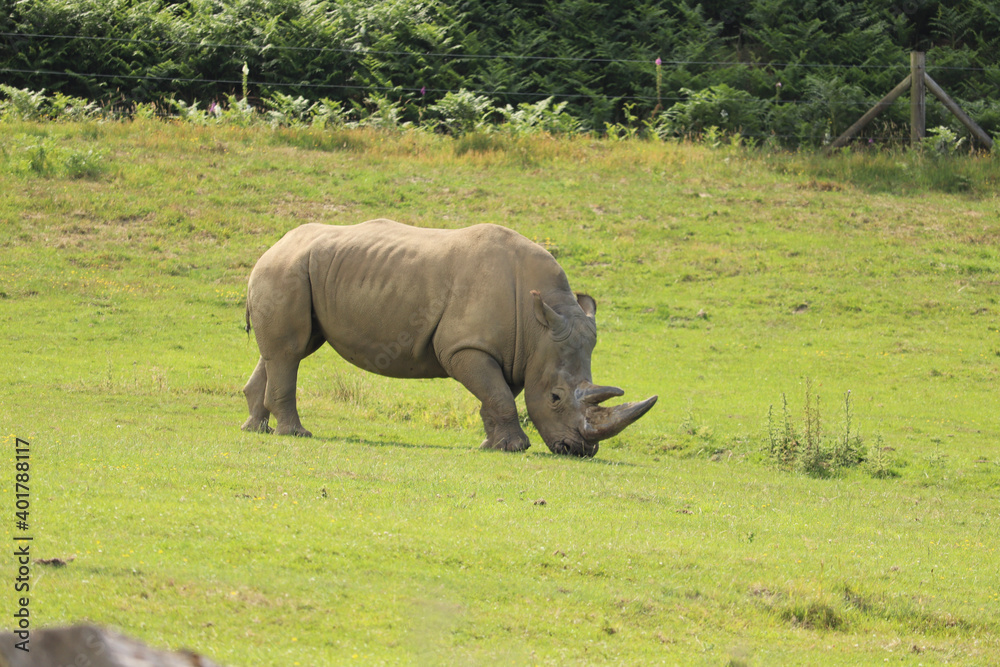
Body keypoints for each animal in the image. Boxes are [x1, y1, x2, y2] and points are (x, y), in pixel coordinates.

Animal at [242, 220, 657, 457]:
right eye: (555, 398)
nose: (579, 451)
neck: (538, 323)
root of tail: (274, 245)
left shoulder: (514, 352)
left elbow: (496, 395)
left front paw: (491, 446)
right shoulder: (465, 346)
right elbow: (498, 394)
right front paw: (514, 448)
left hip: (297, 269)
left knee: (284, 351)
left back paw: (256, 429)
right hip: (285, 269)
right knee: (291, 351)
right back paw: (297, 435)